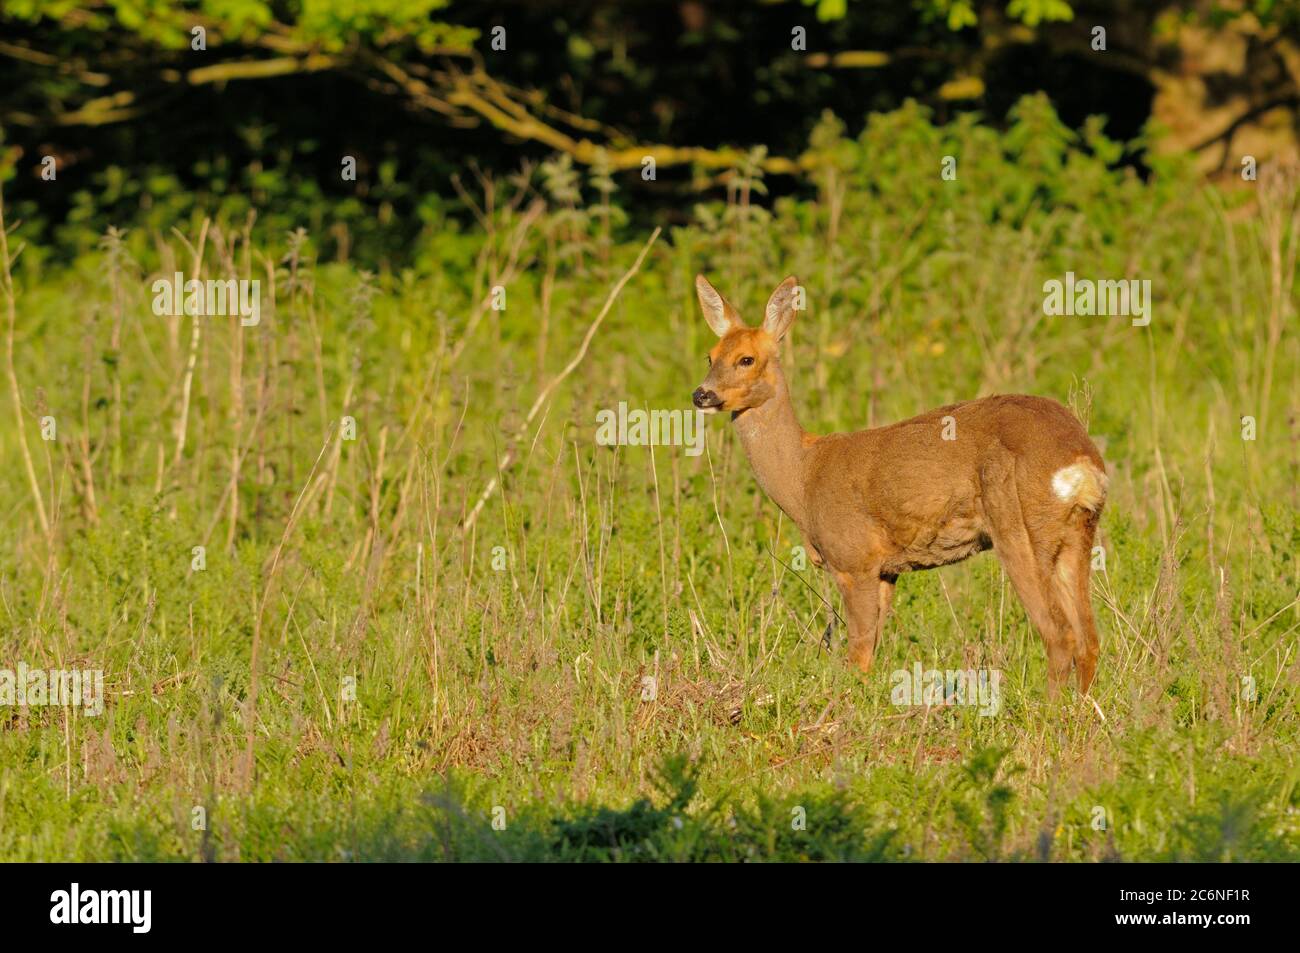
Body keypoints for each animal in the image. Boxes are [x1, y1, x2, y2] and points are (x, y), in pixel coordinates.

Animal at [691, 274, 1108, 697]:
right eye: (710, 356)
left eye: (746, 359)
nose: (702, 394)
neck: (804, 477)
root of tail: (1081, 461)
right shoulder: (887, 570)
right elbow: (870, 651)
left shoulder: (854, 559)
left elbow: (858, 656)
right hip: (1075, 535)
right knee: (1089, 639)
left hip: (1020, 528)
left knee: (1060, 636)